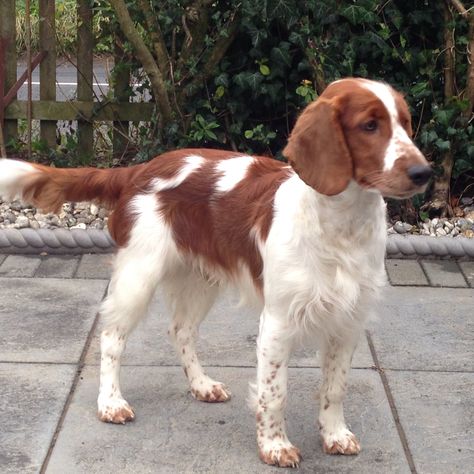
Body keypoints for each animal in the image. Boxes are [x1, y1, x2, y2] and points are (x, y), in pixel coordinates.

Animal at [0, 78, 430, 466]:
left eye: (406, 123)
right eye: (369, 125)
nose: (423, 172)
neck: (341, 224)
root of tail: (139, 169)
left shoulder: (349, 319)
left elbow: (335, 386)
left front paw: (335, 435)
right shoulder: (278, 321)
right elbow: (275, 391)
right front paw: (274, 446)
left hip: (199, 279)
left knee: (181, 331)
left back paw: (201, 385)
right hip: (139, 273)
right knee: (111, 337)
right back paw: (111, 403)